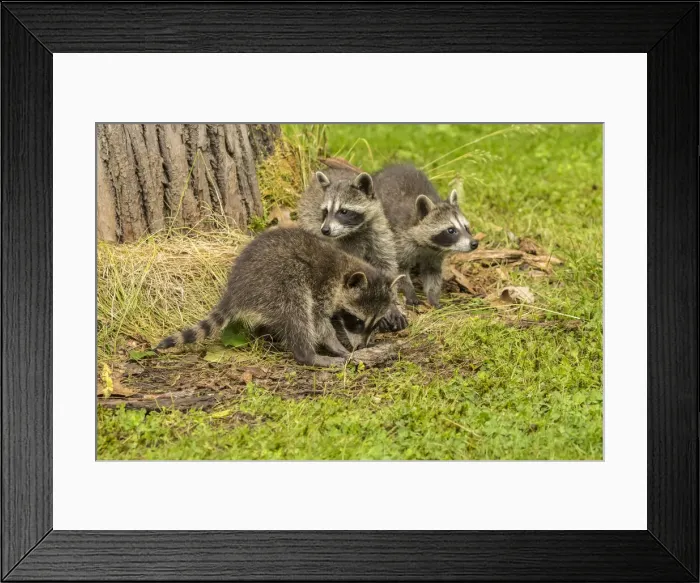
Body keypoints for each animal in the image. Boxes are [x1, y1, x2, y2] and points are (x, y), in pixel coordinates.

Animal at [156, 228, 400, 367]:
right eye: (357, 321)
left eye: (375, 322)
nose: (362, 346)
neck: (344, 269)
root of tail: (235, 290)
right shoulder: (322, 287)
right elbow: (318, 321)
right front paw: (335, 344)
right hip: (277, 283)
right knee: (296, 311)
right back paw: (308, 355)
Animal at [297, 167, 407, 332]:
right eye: (325, 212)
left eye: (343, 211)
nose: (325, 230)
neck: (357, 230)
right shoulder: (341, 247)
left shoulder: (380, 235)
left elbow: (387, 266)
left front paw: (391, 304)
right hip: (307, 219)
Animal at [373, 164, 479, 308]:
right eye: (451, 230)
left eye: (466, 227)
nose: (474, 243)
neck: (429, 246)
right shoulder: (399, 238)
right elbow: (400, 268)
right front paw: (409, 290)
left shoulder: (435, 254)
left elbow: (432, 273)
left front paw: (433, 296)